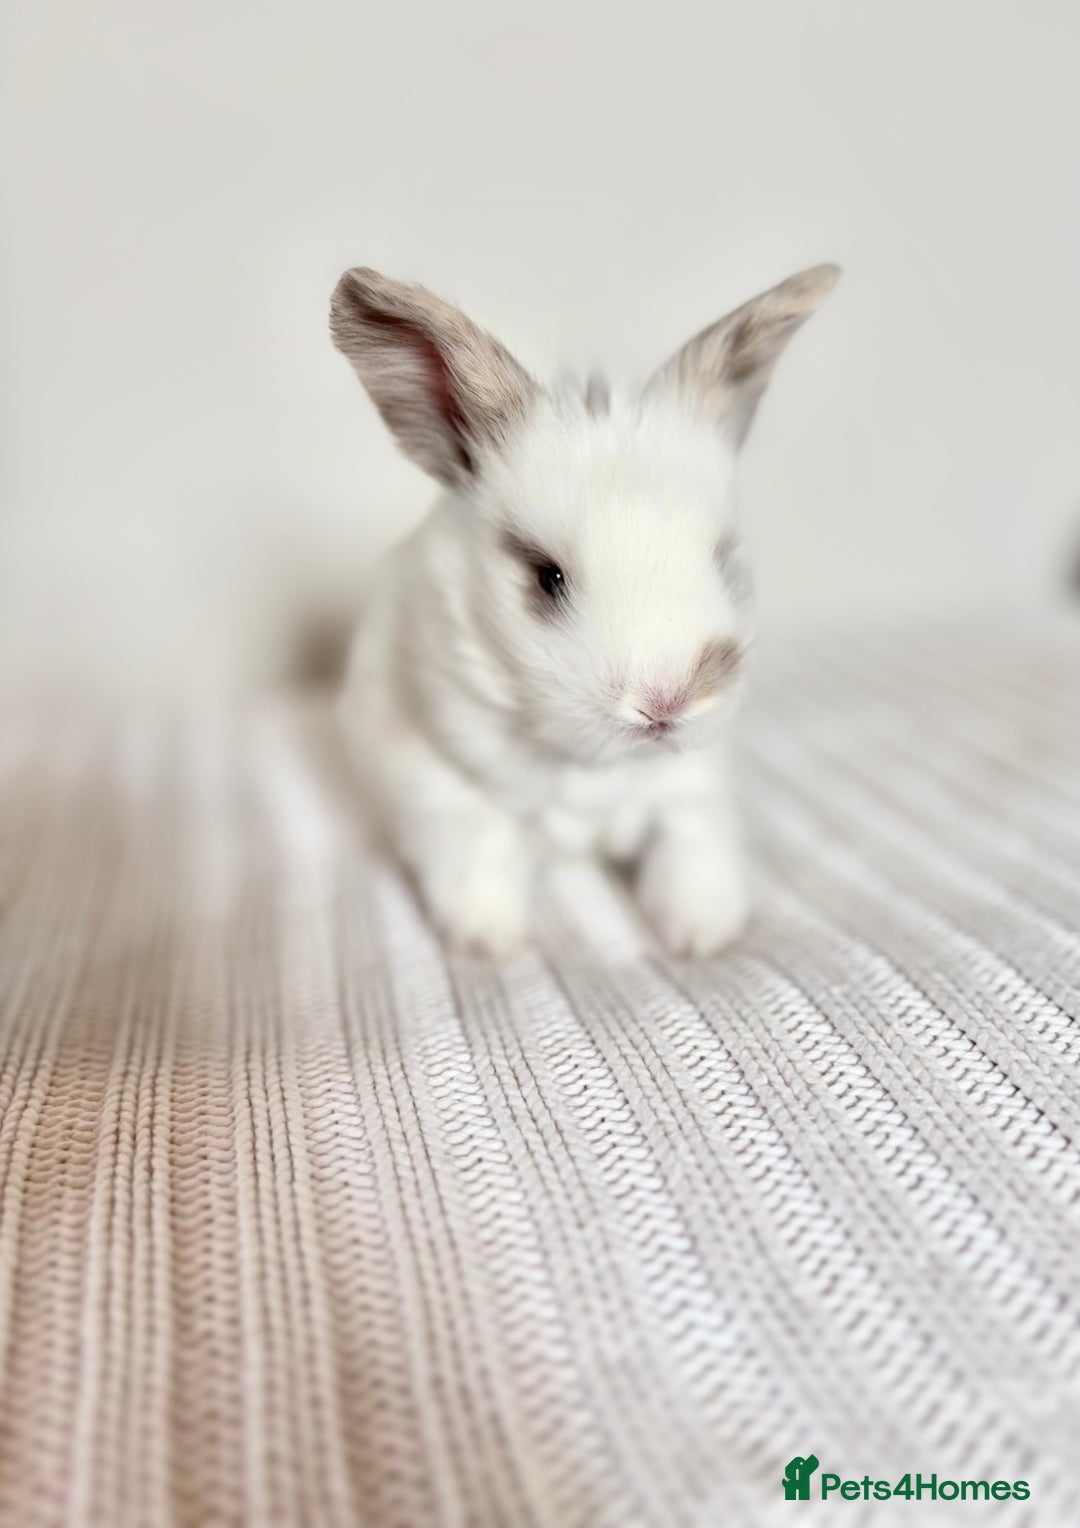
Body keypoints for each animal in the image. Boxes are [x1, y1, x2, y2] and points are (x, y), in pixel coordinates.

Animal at [330, 262, 838, 957]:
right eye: (549, 577)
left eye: (721, 559)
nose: (665, 705)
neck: (591, 767)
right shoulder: (437, 781)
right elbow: (478, 850)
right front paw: (489, 937)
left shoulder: (694, 788)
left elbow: (692, 847)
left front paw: (701, 933)